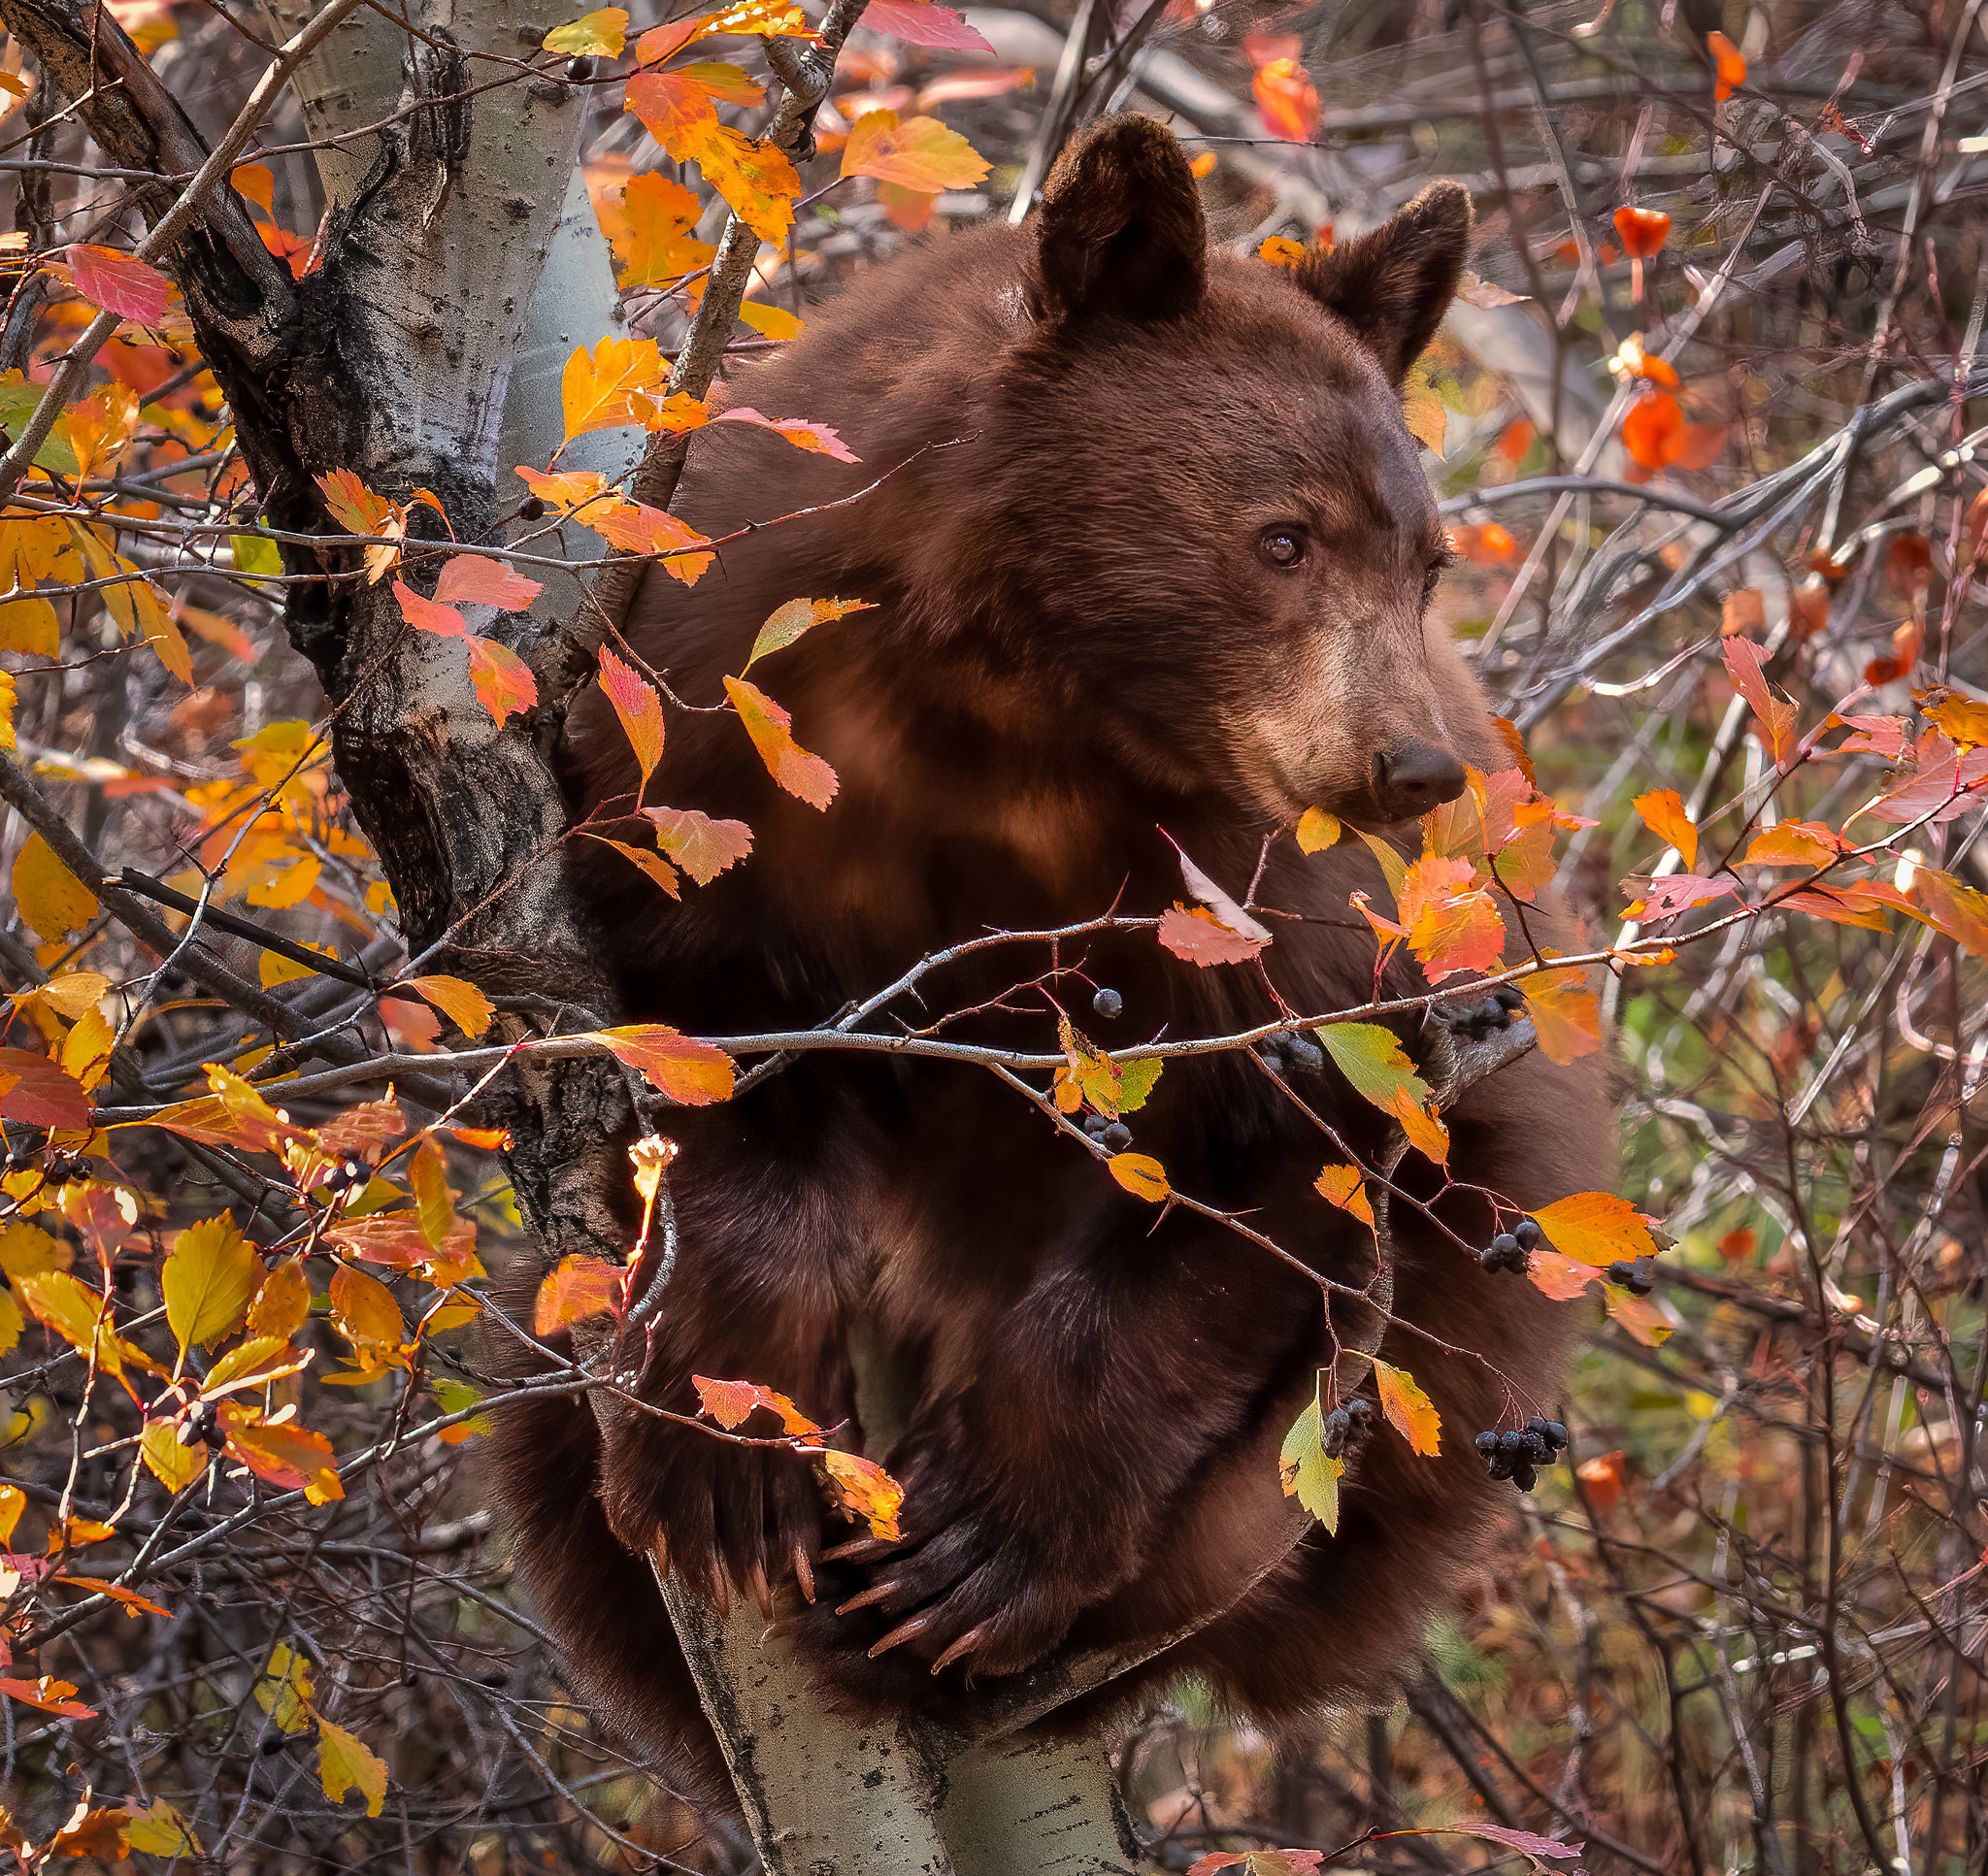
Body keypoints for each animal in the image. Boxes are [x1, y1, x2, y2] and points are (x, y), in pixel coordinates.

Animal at [492, 116, 1613, 1820]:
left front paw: (977, 1548)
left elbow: (1270, 1158)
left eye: (1424, 561)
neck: (1013, 718)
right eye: (1282, 536)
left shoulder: (1280, 914)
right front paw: (723, 1448)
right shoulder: (722, 730)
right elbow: (716, 1029)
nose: (1413, 766)